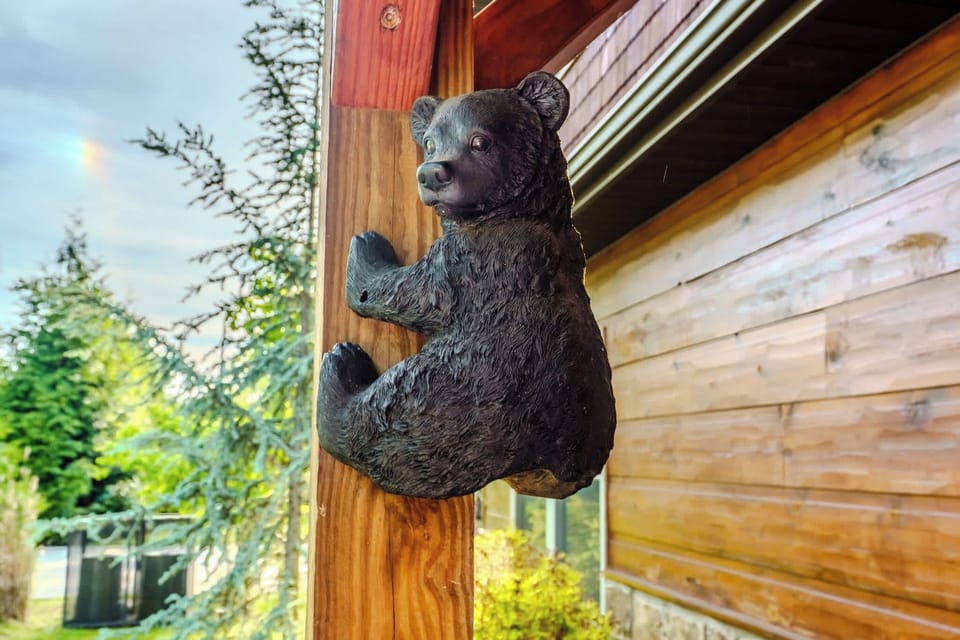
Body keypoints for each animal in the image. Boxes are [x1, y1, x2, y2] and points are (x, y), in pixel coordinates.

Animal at [316, 71, 616, 500]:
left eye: (479, 141)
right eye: (429, 142)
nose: (431, 173)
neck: (523, 210)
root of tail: (554, 468)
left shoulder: (478, 261)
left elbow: (412, 292)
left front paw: (367, 247)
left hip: (461, 397)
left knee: (388, 422)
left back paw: (341, 368)